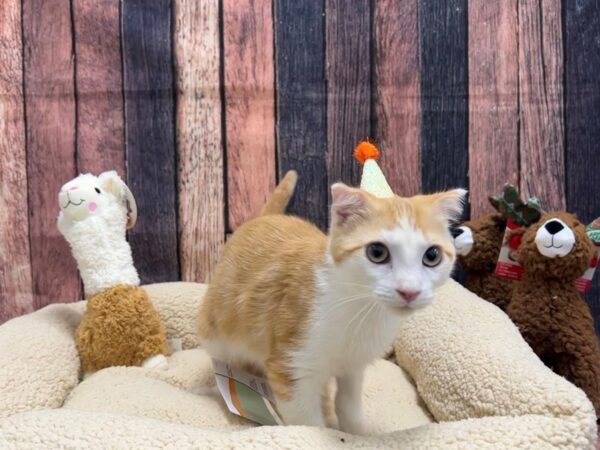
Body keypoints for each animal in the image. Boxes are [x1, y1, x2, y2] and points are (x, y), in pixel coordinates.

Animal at [199, 178, 466, 432]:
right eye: (377, 252)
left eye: (432, 256)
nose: (409, 290)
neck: (359, 308)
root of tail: (262, 218)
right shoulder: (290, 365)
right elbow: (305, 421)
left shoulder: (354, 365)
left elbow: (348, 402)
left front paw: (356, 434)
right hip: (219, 332)